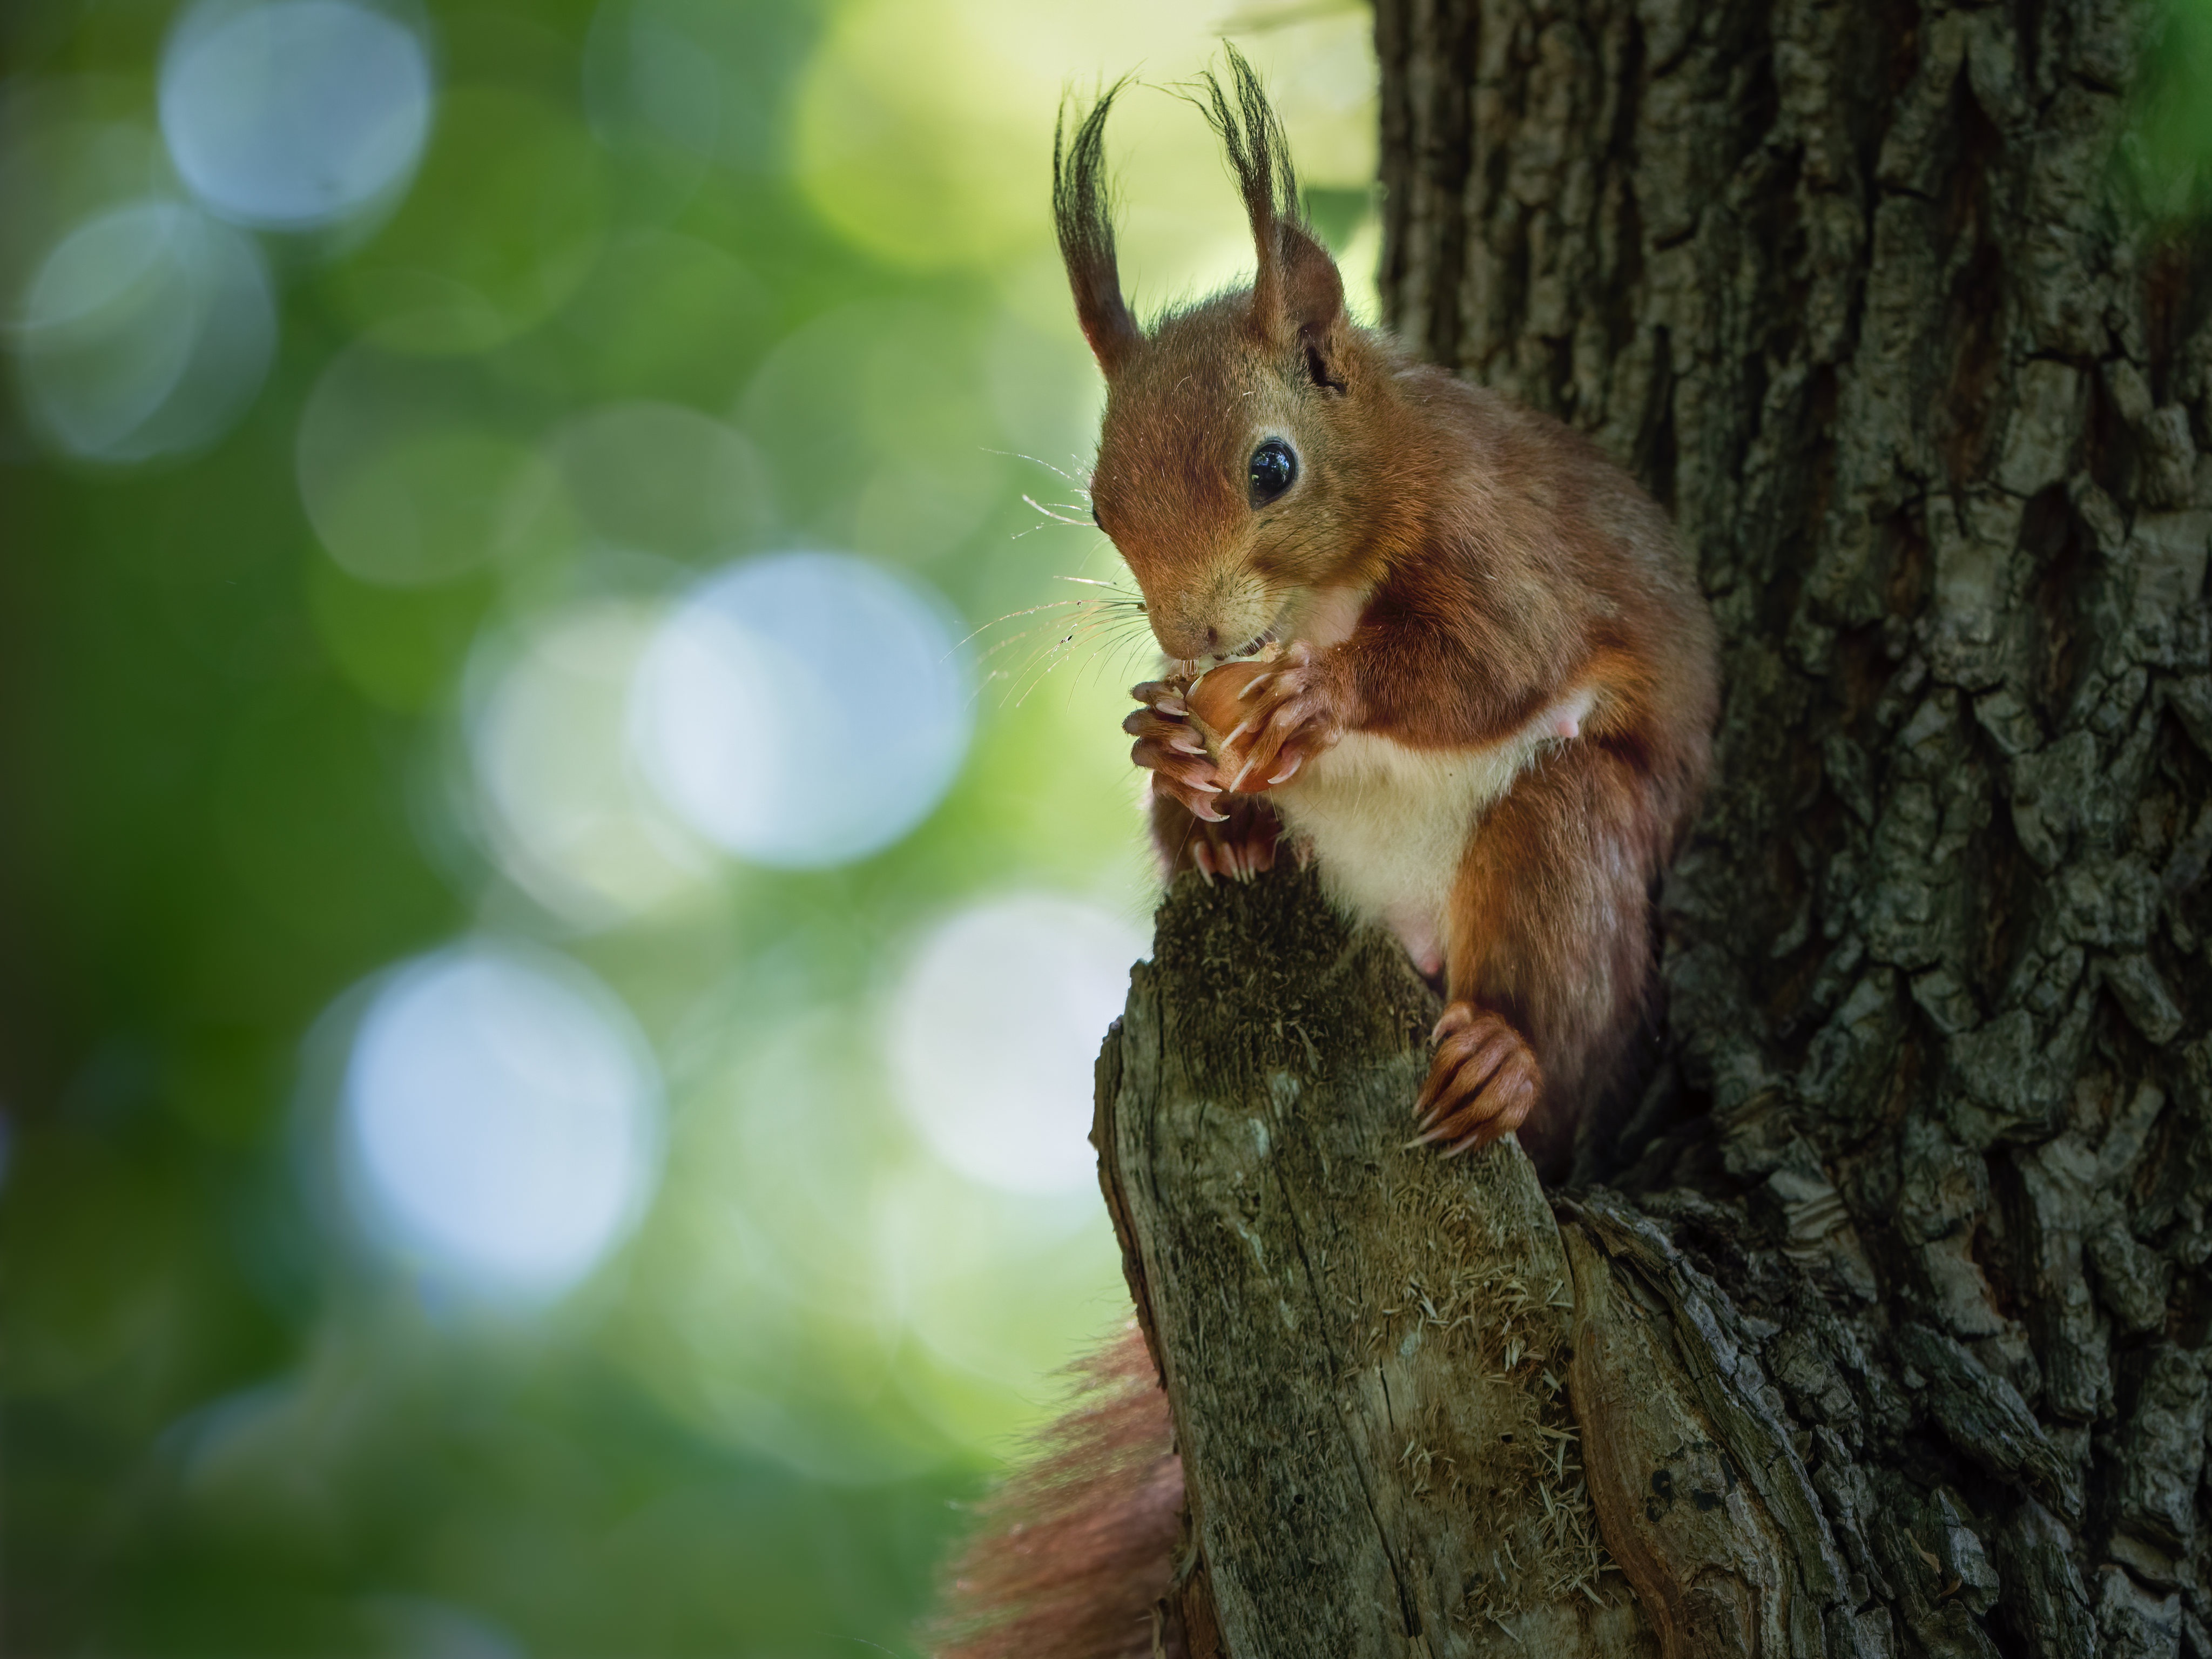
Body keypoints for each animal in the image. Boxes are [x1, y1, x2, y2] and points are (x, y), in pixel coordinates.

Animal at [925, 52, 1716, 1659]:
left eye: (1272, 467)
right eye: (1100, 501)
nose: (1195, 640)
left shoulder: (1501, 544)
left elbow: (1488, 660)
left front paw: (1317, 701)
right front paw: (1171, 749)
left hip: (1570, 853)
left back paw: (1501, 1060)